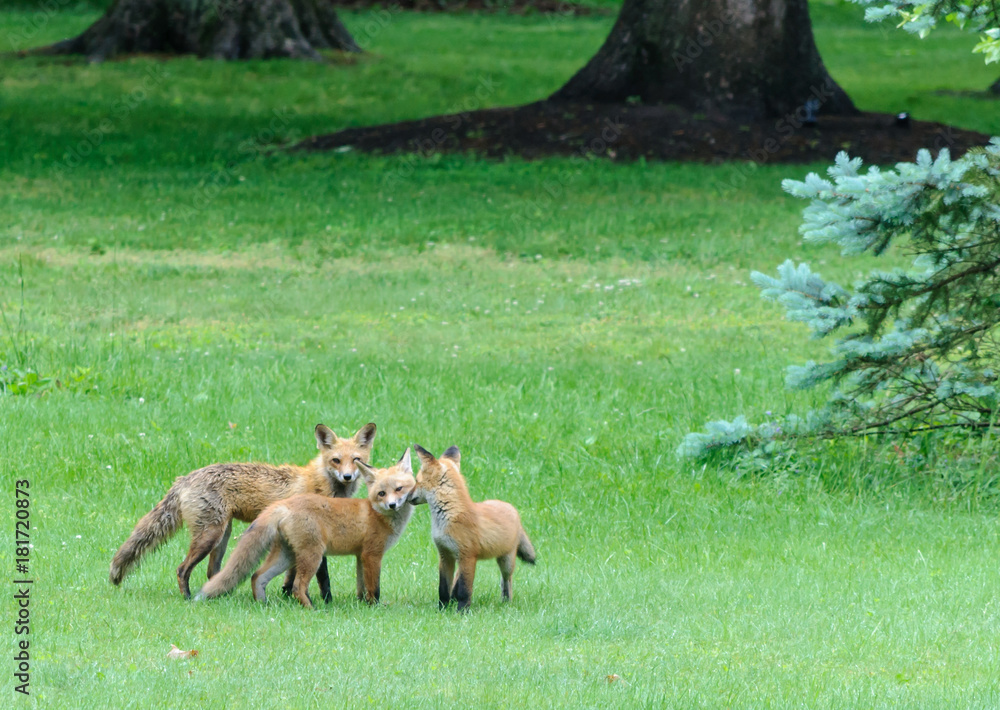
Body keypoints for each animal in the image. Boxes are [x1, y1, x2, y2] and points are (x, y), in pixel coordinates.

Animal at [109, 422, 376, 599]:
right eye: (335, 460)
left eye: (356, 460)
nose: (347, 476)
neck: (322, 484)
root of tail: (184, 478)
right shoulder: (314, 530)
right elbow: (323, 577)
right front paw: (324, 602)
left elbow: (291, 574)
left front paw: (287, 596)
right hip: (209, 536)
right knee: (182, 569)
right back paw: (187, 598)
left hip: (221, 538)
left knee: (212, 572)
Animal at [194, 449, 416, 609]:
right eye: (381, 493)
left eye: (399, 489)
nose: (392, 505)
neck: (377, 515)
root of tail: (283, 504)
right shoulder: (372, 554)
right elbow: (374, 588)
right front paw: (375, 607)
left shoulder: (360, 556)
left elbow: (361, 587)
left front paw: (362, 605)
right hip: (312, 555)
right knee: (296, 586)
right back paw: (312, 609)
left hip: (286, 555)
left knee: (257, 576)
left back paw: (262, 605)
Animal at [409, 444, 536, 611]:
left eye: (417, 481)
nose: (406, 496)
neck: (447, 517)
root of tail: (512, 508)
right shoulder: (445, 555)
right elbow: (443, 588)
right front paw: (443, 609)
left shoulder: (468, 556)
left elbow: (464, 589)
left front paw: (462, 611)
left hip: (506, 561)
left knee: (506, 581)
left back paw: (506, 602)